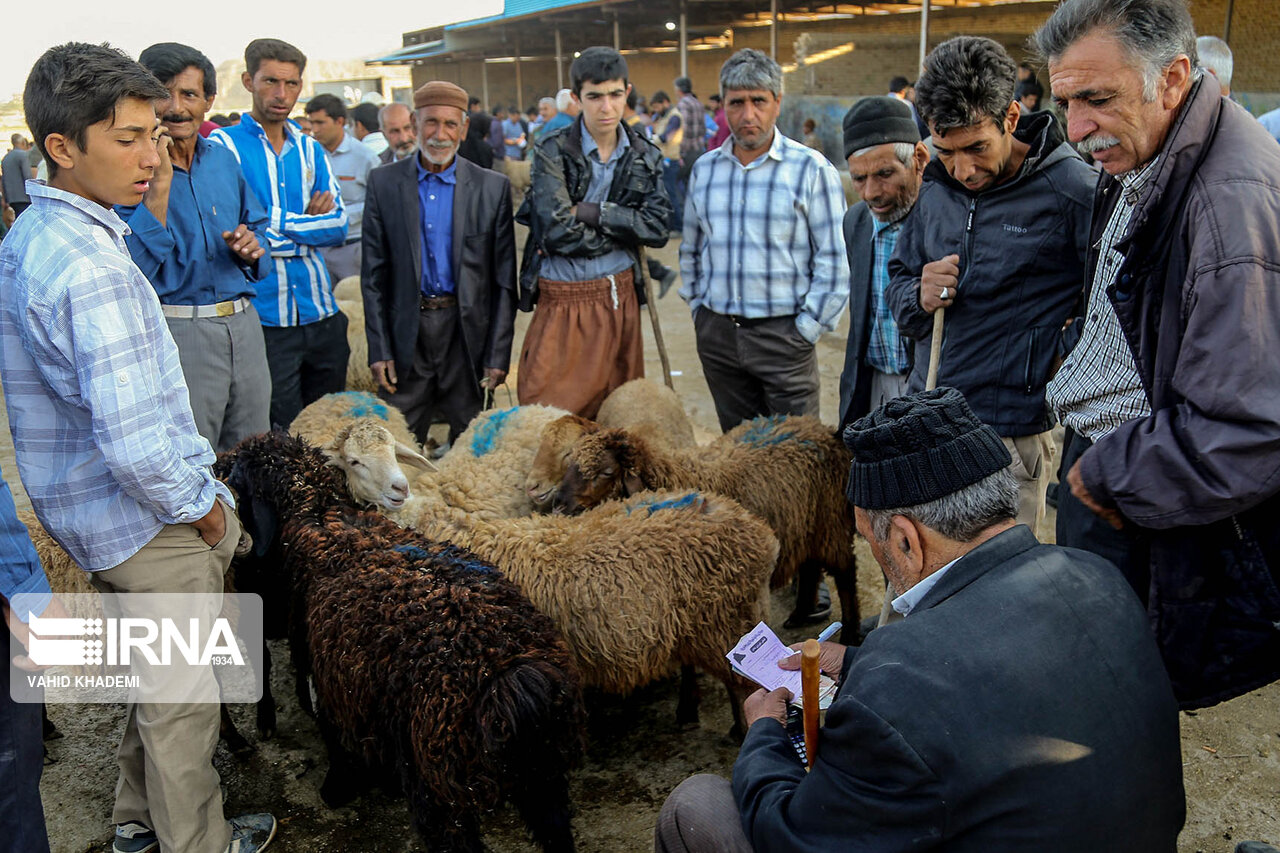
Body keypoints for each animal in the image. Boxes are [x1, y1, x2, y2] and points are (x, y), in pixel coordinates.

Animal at [216, 432, 586, 850]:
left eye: (237, 476)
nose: (216, 468)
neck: (318, 512)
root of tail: (507, 675)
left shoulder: (329, 677)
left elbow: (332, 735)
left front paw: (336, 789)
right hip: (545, 775)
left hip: (441, 788)